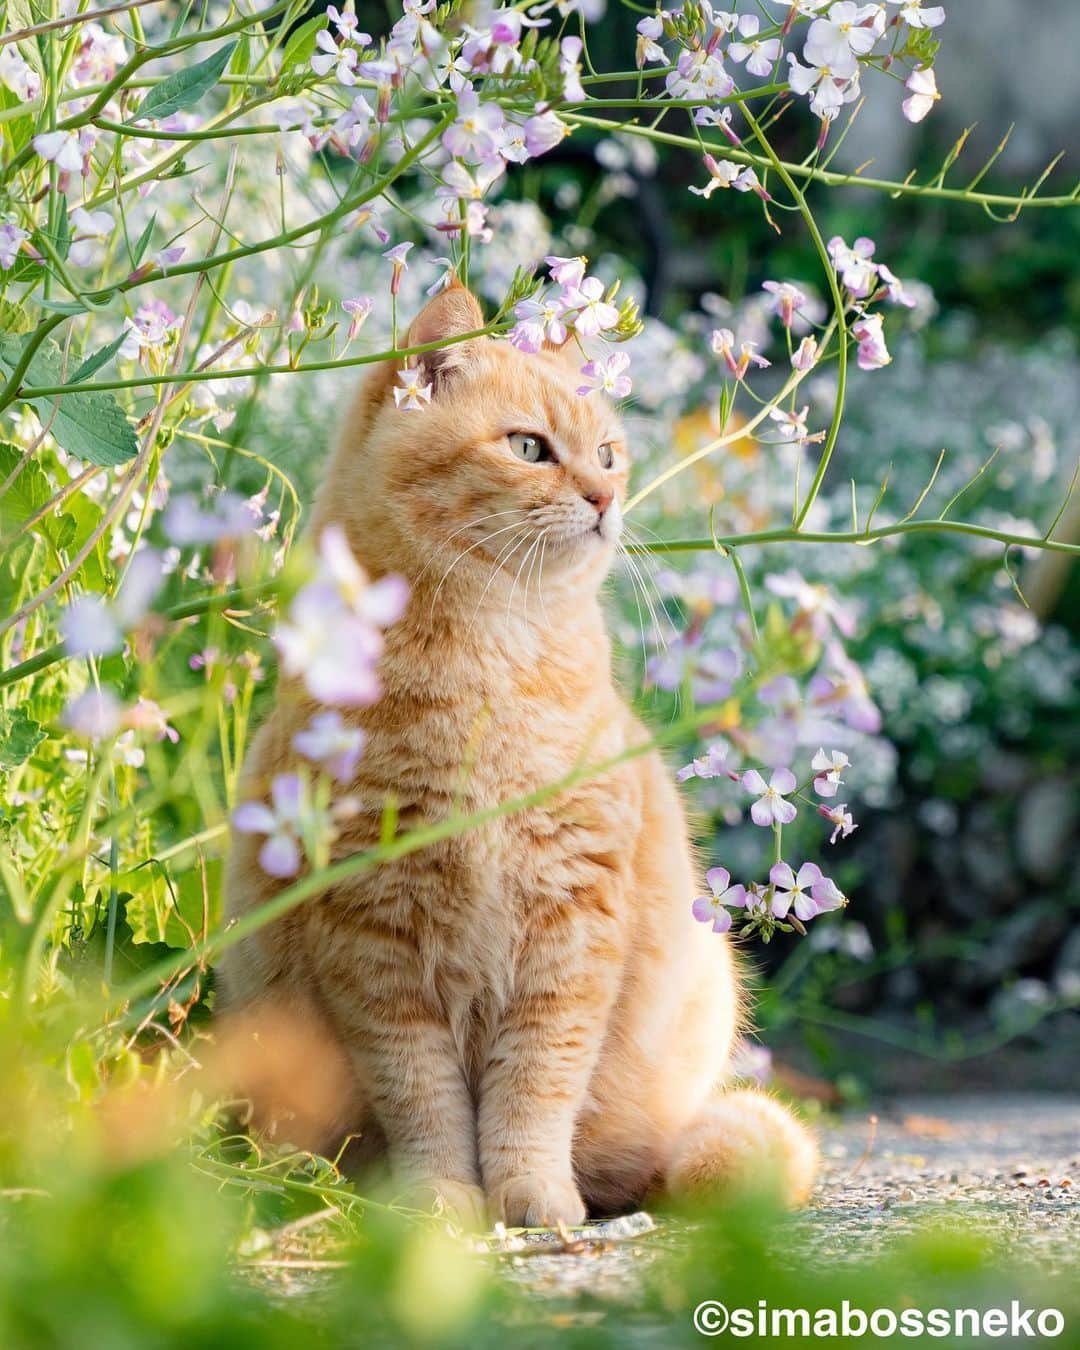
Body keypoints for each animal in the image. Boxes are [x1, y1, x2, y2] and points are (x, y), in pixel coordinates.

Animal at [224, 287, 815, 1236]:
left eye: (608, 453)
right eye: (529, 447)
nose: (606, 494)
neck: (489, 659)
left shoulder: (571, 929)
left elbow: (535, 1086)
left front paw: (532, 1195)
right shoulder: (373, 938)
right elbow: (422, 1097)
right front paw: (441, 1199)